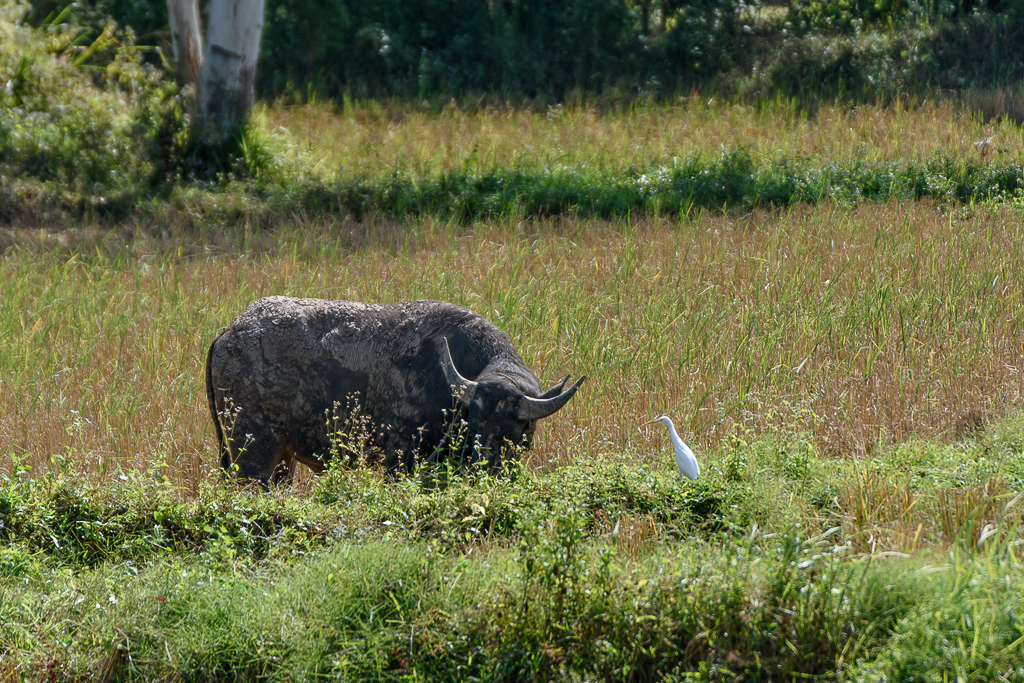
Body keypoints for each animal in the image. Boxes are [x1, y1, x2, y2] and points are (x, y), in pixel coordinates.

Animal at [205, 296, 584, 482]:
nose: (483, 468)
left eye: (513, 432)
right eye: (473, 424)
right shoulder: (401, 458)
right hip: (252, 453)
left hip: (281, 460)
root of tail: (228, 333)